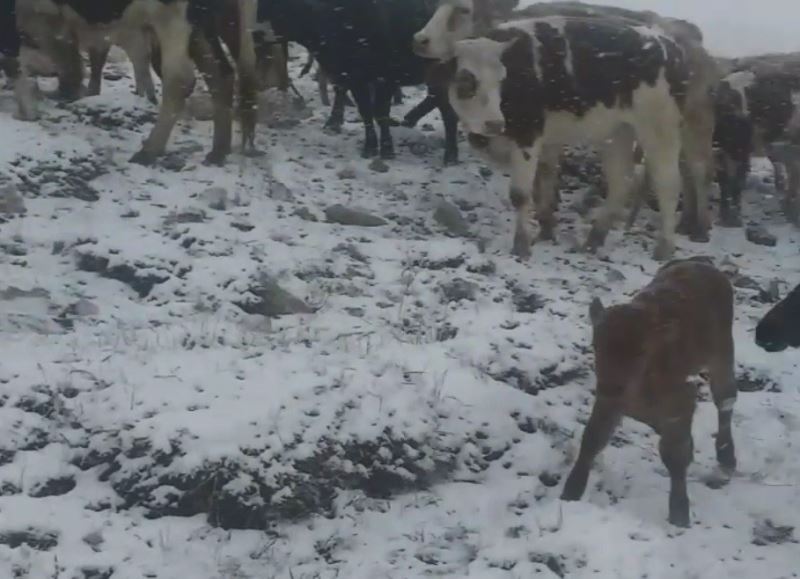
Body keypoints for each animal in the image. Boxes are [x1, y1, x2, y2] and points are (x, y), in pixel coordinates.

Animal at [13, 0, 256, 168]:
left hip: (173, 18)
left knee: (180, 80)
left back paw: (149, 151)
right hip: (202, 24)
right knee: (221, 75)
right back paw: (218, 152)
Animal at [256, 0, 456, 165]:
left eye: (280, 6)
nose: (256, 33)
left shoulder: (385, 78)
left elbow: (379, 112)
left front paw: (386, 149)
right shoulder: (353, 77)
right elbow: (365, 110)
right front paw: (369, 147)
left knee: (447, 111)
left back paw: (450, 155)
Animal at [412, 1, 720, 254]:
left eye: (501, 79)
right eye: (466, 80)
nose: (494, 123)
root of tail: (673, 47)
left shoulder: (529, 135)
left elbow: (521, 193)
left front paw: (522, 245)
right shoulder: (546, 141)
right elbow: (545, 183)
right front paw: (546, 231)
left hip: (662, 128)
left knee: (671, 181)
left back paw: (666, 246)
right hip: (618, 132)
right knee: (621, 182)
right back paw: (594, 238)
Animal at [560, 260, 736, 528]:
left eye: (641, 351)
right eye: (596, 345)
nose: (612, 386)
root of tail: (703, 265)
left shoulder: (681, 402)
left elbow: (675, 453)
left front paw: (679, 515)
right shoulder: (607, 403)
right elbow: (592, 438)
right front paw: (570, 493)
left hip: (723, 356)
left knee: (725, 401)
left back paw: (727, 457)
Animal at [712, 65, 800, 227]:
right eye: (726, 104)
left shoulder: (742, 149)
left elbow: (737, 181)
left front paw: (734, 217)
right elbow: (725, 181)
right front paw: (724, 216)